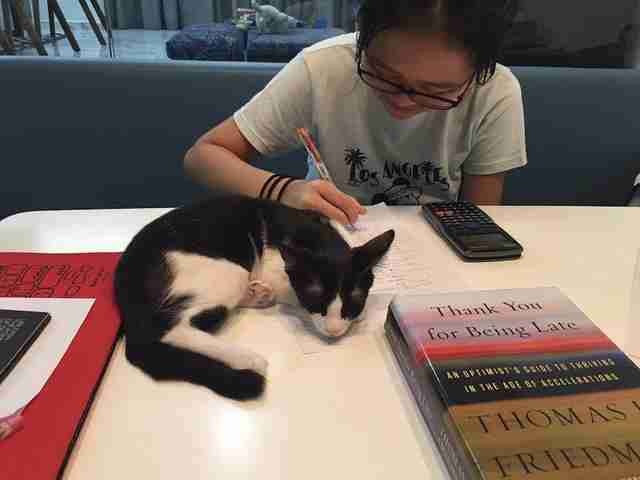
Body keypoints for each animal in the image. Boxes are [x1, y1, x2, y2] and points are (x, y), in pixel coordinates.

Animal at [115, 193, 396, 400]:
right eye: (315, 296)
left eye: (355, 298)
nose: (334, 330)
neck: (319, 239)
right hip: (230, 271)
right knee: (170, 328)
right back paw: (248, 357)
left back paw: (258, 295)